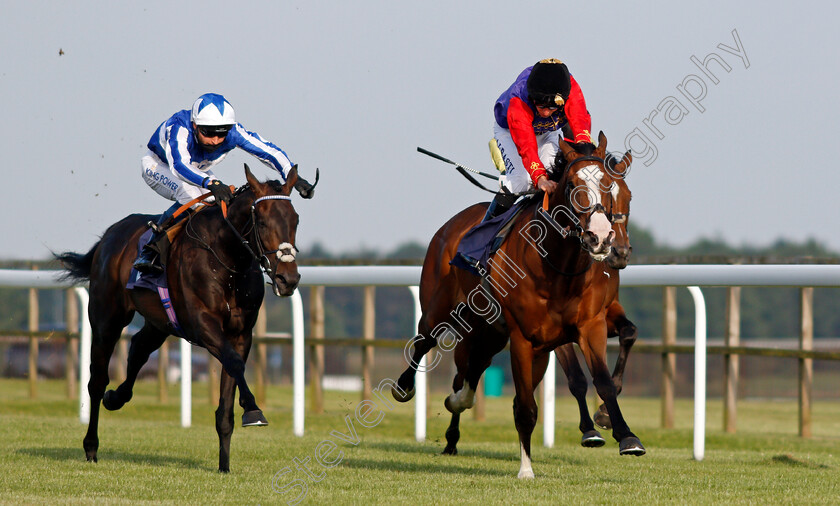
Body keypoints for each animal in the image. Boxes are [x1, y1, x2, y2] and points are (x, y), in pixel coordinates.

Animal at [394, 131, 644, 478]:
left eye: (619, 191)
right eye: (572, 185)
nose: (605, 241)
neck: (558, 265)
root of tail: (451, 225)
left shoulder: (590, 324)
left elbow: (605, 377)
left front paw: (621, 431)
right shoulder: (526, 337)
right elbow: (530, 403)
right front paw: (527, 468)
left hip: (489, 333)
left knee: (471, 371)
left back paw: (455, 416)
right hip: (442, 308)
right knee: (425, 340)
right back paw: (406, 388)